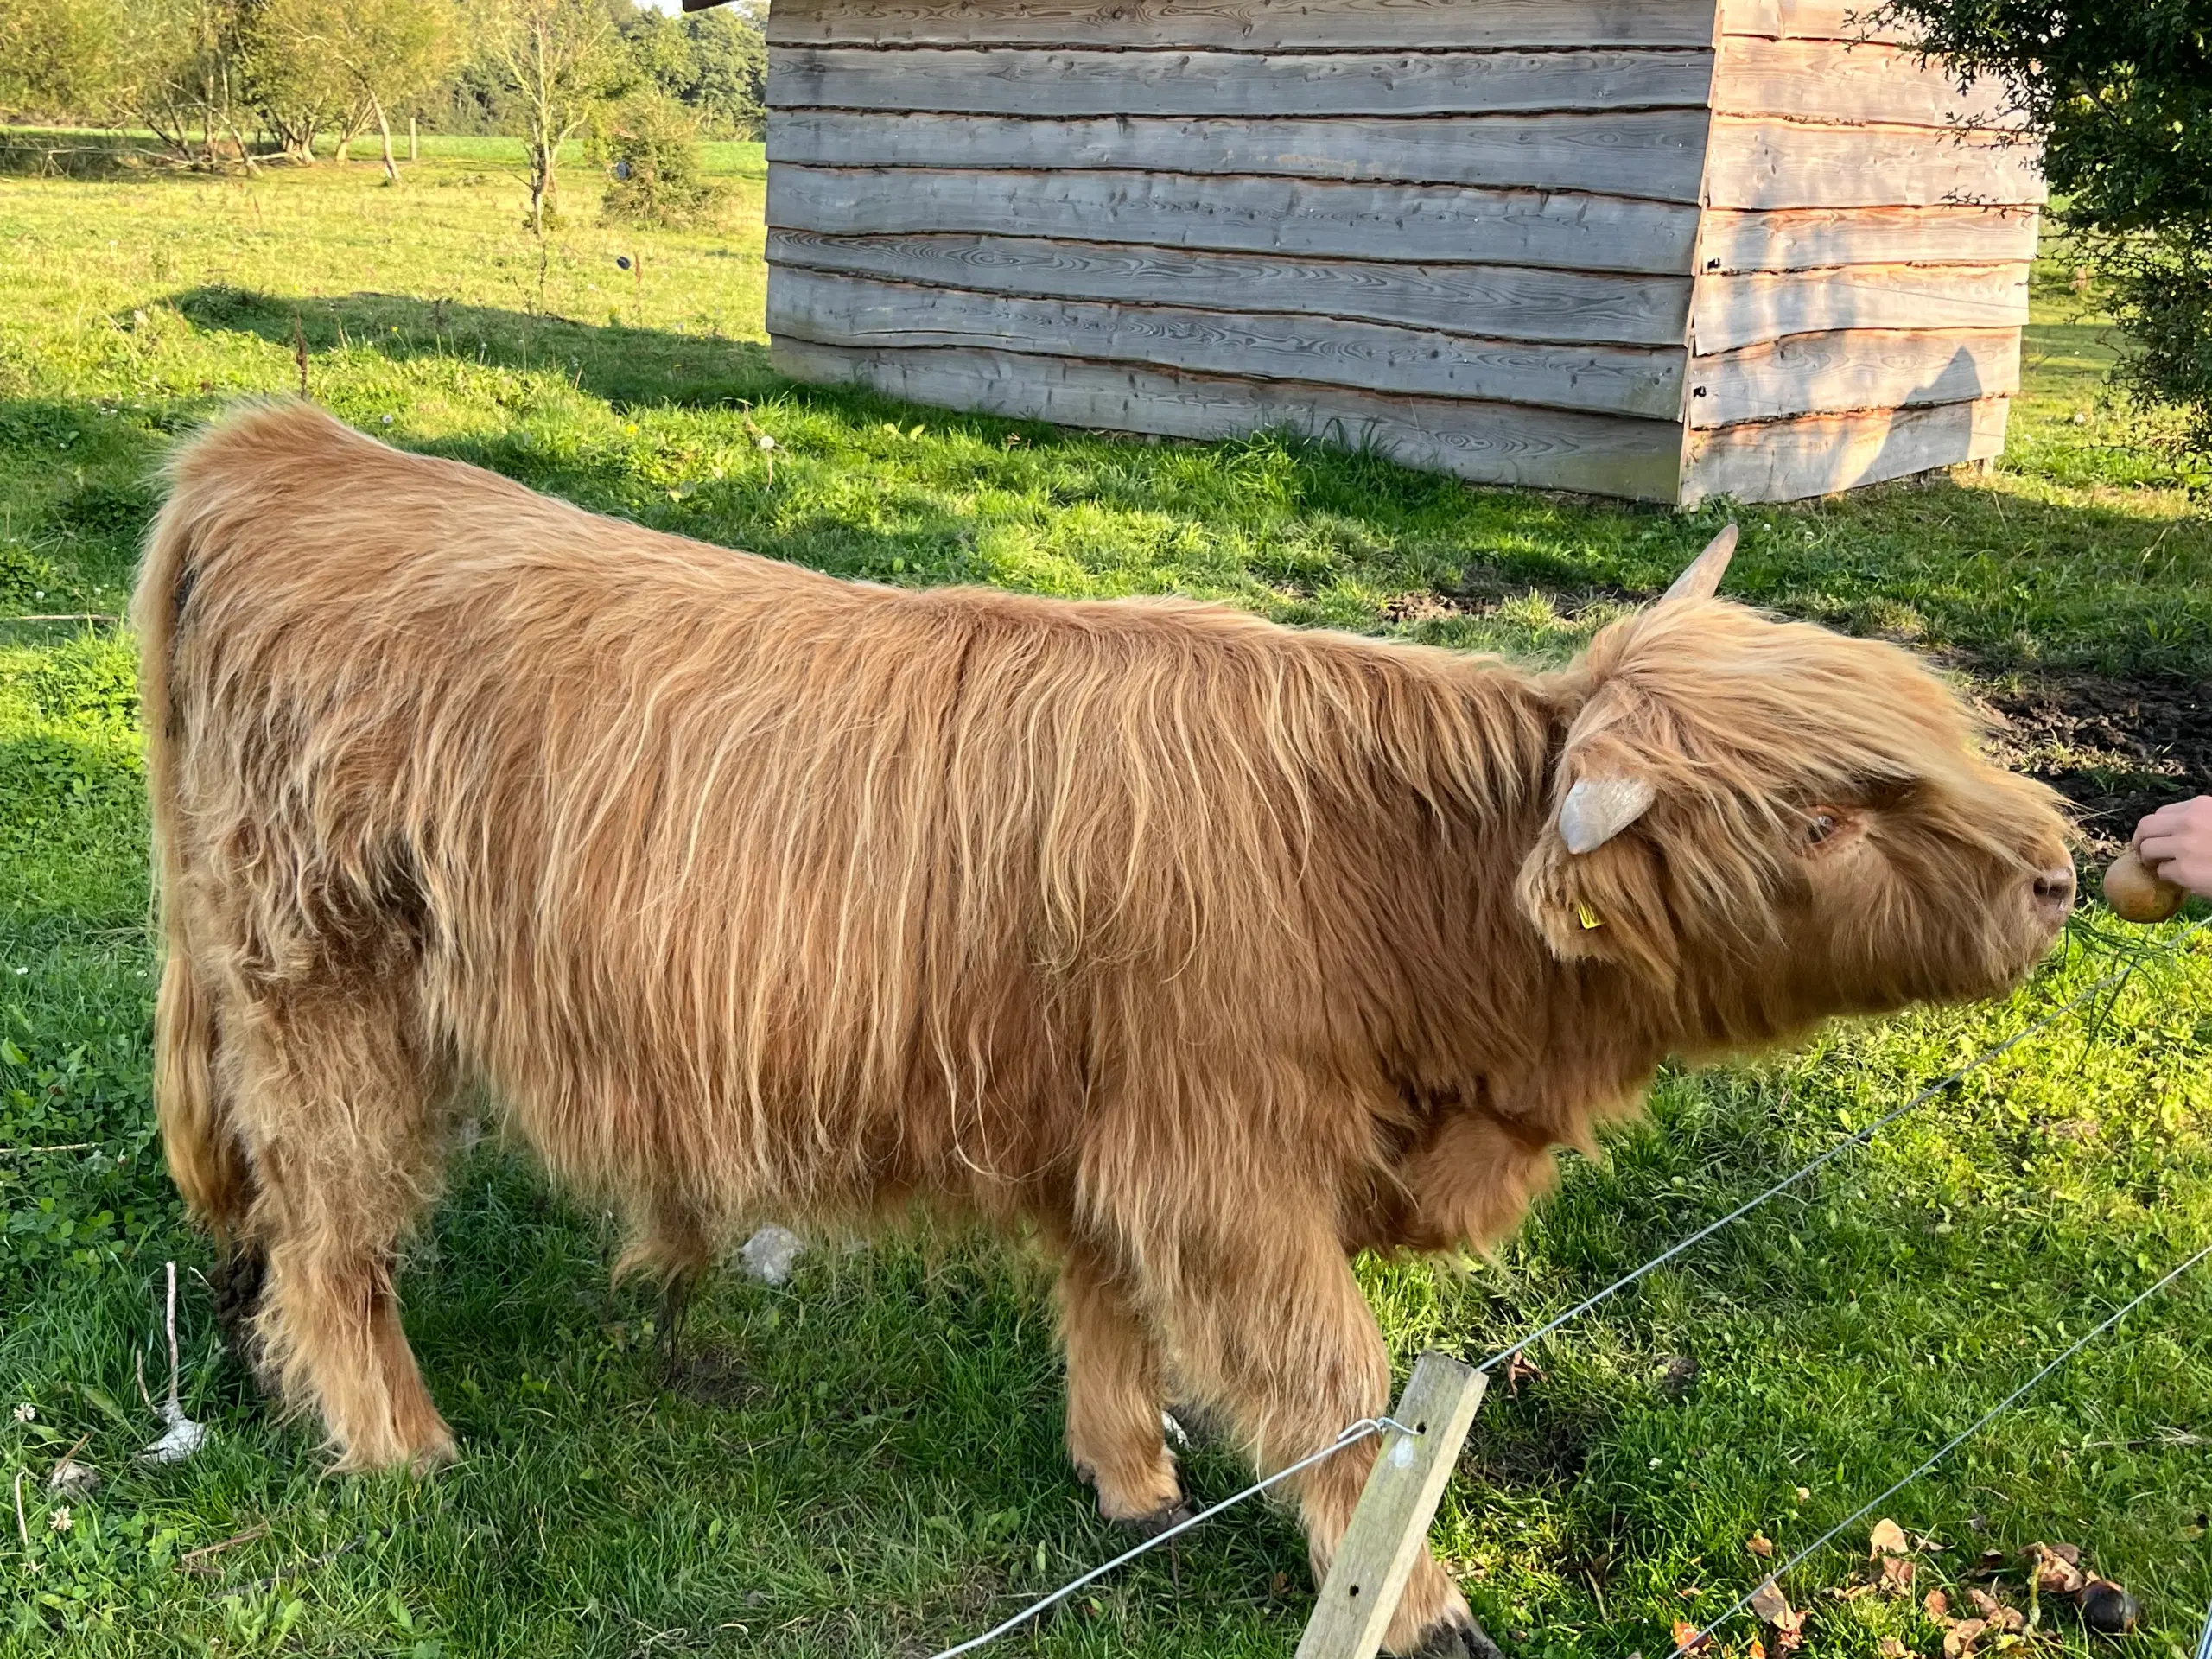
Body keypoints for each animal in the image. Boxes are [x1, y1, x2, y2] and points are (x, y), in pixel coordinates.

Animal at [133, 407, 2070, 1659]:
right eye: (1824, 812)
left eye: (1926, 733)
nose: (2061, 871)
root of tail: (284, 449)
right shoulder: (1227, 1164)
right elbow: (1331, 1391)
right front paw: (1420, 1604)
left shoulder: (1117, 1124)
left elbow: (1108, 1304)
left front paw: (1129, 1482)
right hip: (328, 988)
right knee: (334, 1231)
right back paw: (401, 1449)